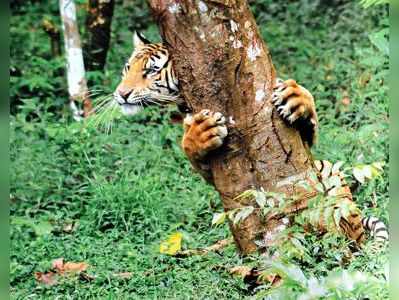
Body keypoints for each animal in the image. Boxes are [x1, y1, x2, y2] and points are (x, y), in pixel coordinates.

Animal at [111, 31, 388, 246]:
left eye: (151, 70)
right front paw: (200, 133)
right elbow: (189, 147)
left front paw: (296, 96)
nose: (121, 94)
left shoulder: (304, 147)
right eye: (127, 68)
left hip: (331, 176)